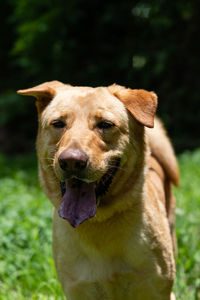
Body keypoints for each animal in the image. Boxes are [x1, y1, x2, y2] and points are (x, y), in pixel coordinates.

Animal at [18, 81, 179, 298]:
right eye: (58, 123)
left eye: (105, 124)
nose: (72, 161)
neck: (99, 222)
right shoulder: (78, 288)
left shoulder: (154, 289)